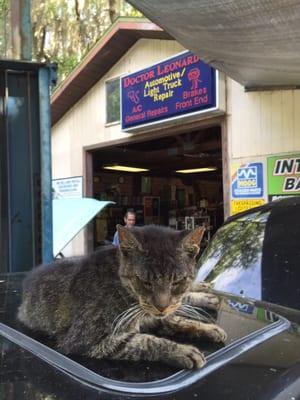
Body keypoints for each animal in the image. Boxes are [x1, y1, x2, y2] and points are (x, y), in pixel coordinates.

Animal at [18, 225, 225, 368]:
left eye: (177, 282)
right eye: (144, 281)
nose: (161, 306)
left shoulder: (153, 315)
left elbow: (176, 319)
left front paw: (209, 328)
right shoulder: (87, 341)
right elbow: (146, 341)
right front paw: (183, 351)